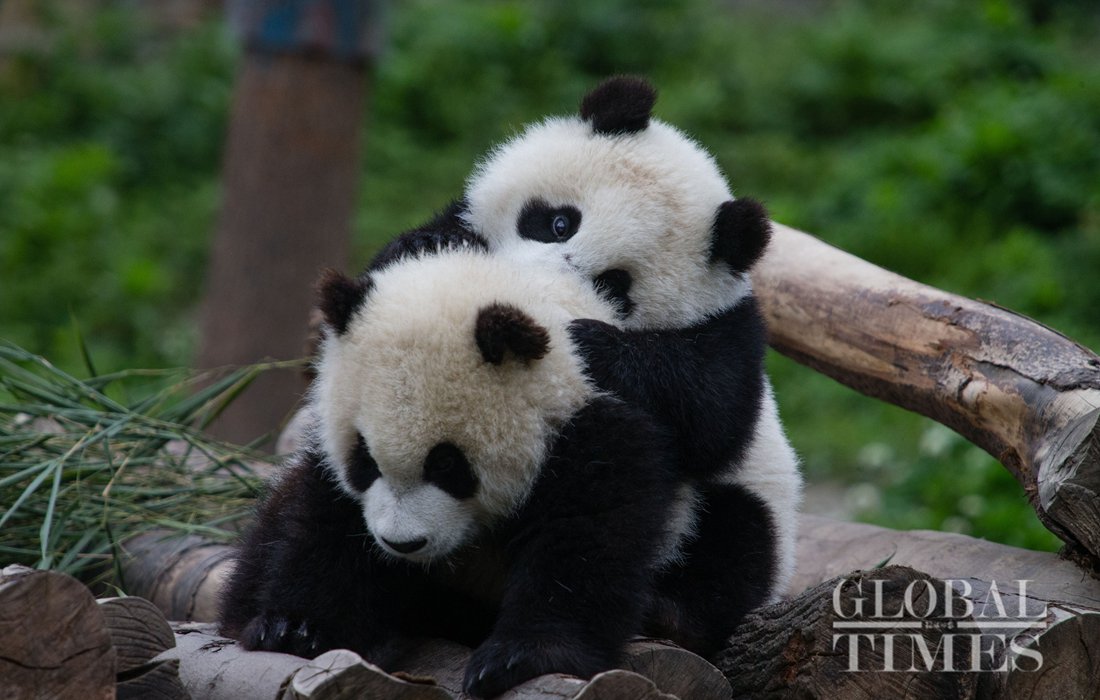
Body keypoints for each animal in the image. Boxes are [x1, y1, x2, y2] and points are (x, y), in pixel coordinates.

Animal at [220, 248, 689, 698]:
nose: (402, 544)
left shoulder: (595, 430)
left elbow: (584, 544)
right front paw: (295, 628)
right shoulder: (327, 469)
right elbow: (324, 530)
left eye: (446, 464)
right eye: (364, 459)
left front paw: (519, 658)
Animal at [461, 77, 803, 625]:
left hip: (751, 511)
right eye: (559, 223)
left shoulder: (731, 328)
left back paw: (673, 610)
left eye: (613, 284)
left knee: (737, 534)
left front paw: (588, 344)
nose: (528, 285)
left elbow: (715, 413)